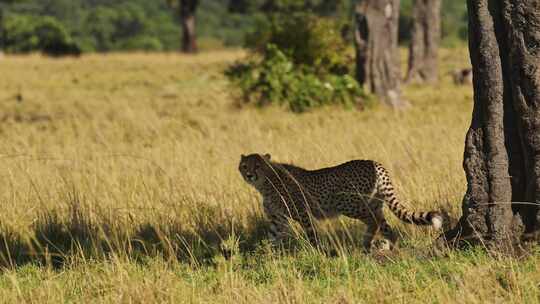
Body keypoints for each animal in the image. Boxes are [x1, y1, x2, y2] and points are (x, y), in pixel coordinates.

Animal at [238, 153, 440, 251]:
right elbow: (272, 236)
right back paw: (388, 245)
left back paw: (367, 243)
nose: (249, 175)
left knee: (373, 220)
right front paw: (268, 254)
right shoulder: (277, 218)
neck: (266, 181)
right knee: (385, 225)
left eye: (258, 166)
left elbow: (311, 234)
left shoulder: (302, 213)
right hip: (373, 204)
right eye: (245, 166)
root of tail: (373, 162)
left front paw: (317, 251)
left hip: (349, 204)